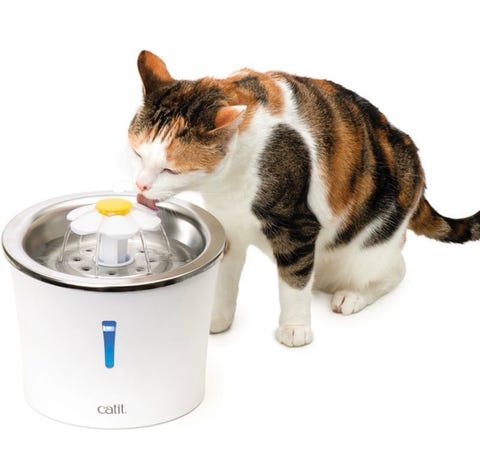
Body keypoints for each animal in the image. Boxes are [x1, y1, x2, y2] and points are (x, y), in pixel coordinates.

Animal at [129, 50, 480, 347]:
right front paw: (215, 319)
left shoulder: (297, 226)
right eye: (137, 154)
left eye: (170, 170)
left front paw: (295, 329)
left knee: (395, 269)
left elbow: (293, 283)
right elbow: (224, 279)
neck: (228, 180)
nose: (140, 185)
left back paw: (352, 295)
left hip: (370, 241)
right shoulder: (229, 227)